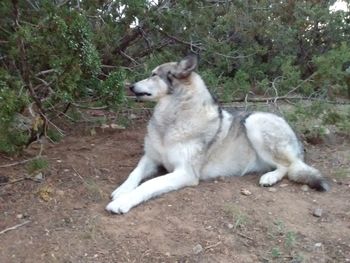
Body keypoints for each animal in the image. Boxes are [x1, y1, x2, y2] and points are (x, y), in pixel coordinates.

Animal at [105, 54, 330, 214]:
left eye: (153, 74)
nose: (130, 86)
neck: (171, 120)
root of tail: (296, 137)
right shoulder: (151, 158)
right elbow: (135, 173)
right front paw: (122, 191)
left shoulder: (184, 173)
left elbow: (148, 184)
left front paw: (123, 202)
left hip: (254, 121)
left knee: (288, 166)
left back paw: (270, 177)